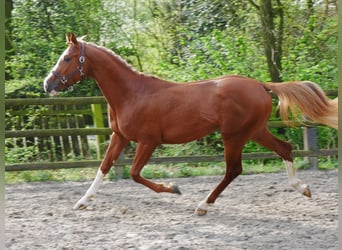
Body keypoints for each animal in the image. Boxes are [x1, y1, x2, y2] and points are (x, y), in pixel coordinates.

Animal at [42, 33, 336, 216]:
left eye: (67, 58)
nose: (48, 83)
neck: (131, 94)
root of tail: (260, 85)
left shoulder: (149, 141)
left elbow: (134, 174)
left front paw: (174, 188)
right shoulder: (119, 136)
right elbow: (103, 168)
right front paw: (81, 202)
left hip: (234, 135)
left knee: (234, 169)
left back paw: (202, 205)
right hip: (255, 131)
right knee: (284, 148)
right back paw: (303, 189)